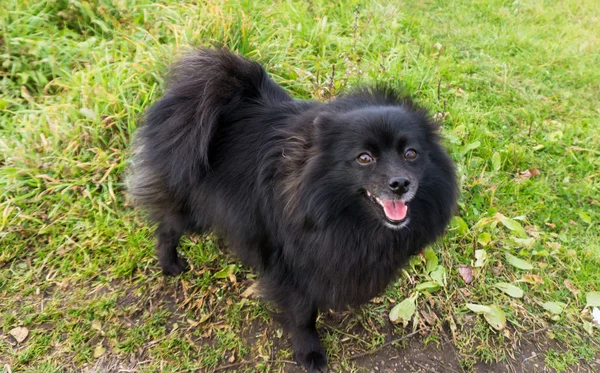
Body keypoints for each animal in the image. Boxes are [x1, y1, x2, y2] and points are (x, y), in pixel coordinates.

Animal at [129, 48, 458, 370]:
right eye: (364, 158)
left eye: (410, 153)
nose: (400, 183)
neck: (338, 212)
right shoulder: (289, 264)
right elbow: (302, 314)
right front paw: (308, 351)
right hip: (191, 205)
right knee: (167, 228)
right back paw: (170, 264)